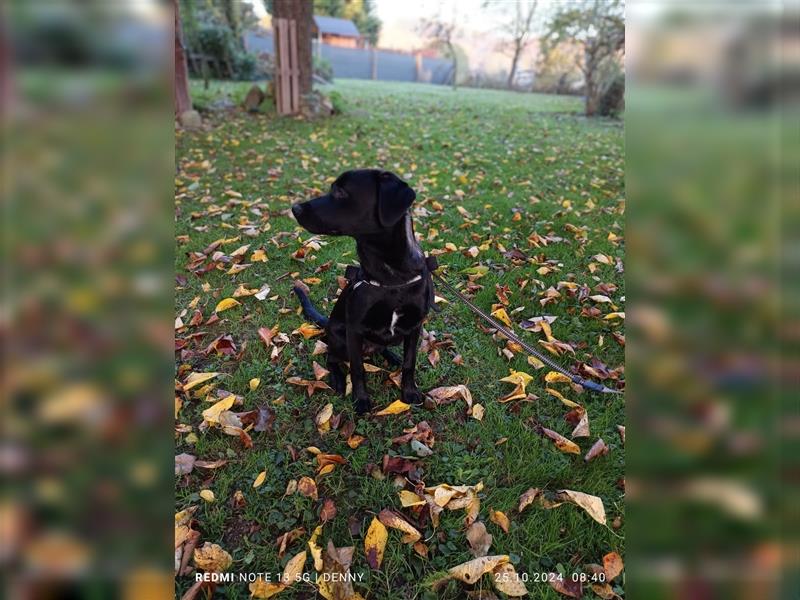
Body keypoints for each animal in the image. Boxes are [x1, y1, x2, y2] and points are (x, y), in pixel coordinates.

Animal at [290, 166, 434, 414]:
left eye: (340, 192)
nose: (295, 208)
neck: (390, 277)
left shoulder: (415, 326)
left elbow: (410, 362)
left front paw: (409, 391)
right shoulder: (354, 330)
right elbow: (357, 370)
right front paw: (361, 400)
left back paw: (392, 357)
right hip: (340, 338)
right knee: (331, 358)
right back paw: (338, 379)